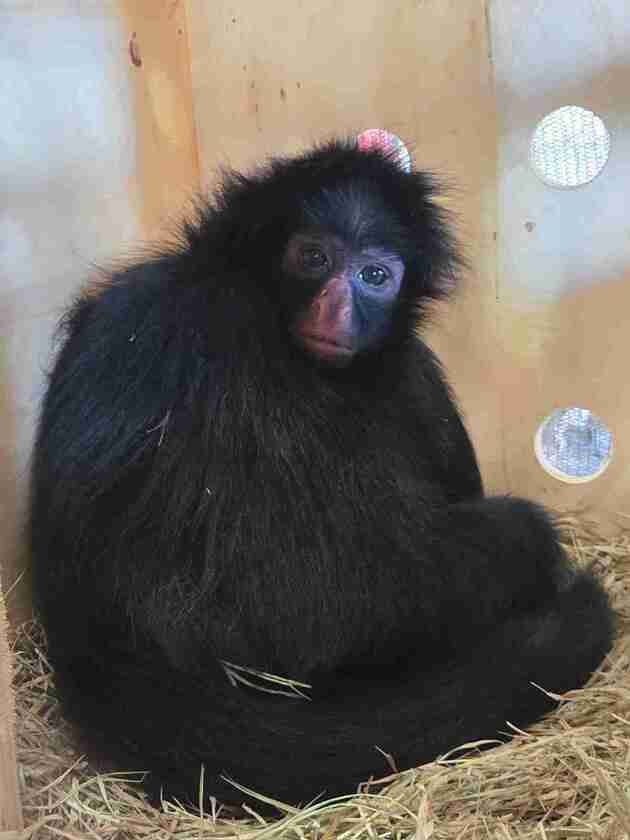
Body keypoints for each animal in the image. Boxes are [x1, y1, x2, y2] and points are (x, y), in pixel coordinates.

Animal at [29, 138, 613, 810]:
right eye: (313, 257)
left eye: (375, 276)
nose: (336, 306)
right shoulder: (216, 335)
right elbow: (309, 604)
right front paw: (534, 543)